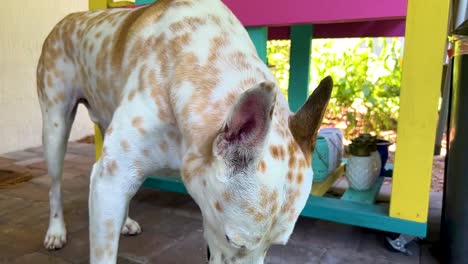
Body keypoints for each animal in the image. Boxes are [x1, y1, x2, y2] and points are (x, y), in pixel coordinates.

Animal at [37, 0, 332, 262]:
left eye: (275, 246)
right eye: (233, 240)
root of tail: (68, 19)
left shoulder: (114, 176)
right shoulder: (111, 178)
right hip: (55, 129)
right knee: (54, 185)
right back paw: (55, 231)